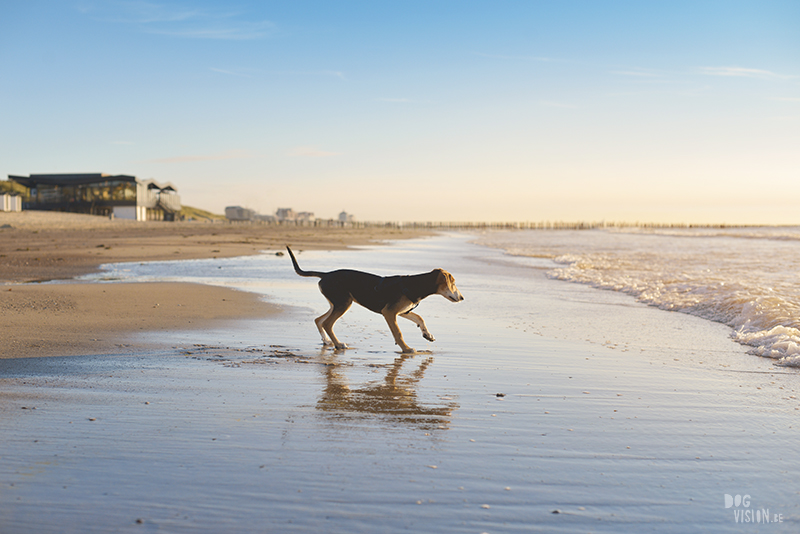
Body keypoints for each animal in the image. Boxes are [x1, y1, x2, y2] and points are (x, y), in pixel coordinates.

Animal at [286, 248, 462, 356]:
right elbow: (398, 332)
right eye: (453, 283)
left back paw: (327, 341)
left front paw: (428, 335)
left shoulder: (402, 310)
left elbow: (419, 318)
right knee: (327, 323)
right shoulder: (389, 312)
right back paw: (338, 344)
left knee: (319, 320)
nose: (462, 298)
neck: (415, 284)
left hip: (336, 302)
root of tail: (325, 274)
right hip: (344, 303)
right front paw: (406, 349)